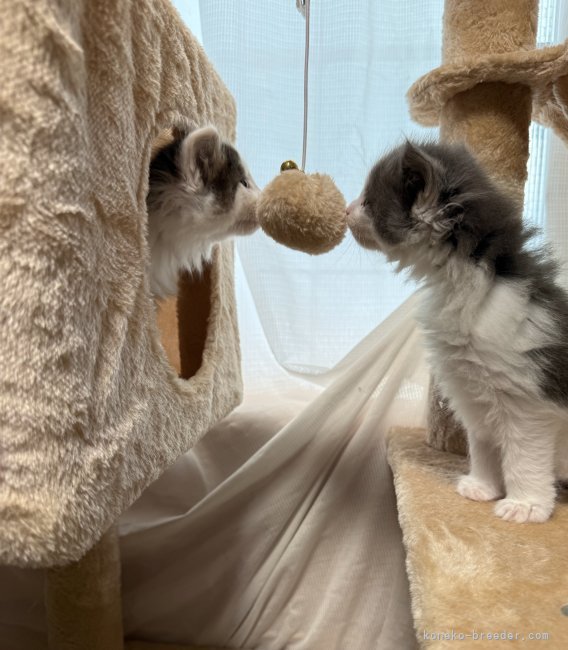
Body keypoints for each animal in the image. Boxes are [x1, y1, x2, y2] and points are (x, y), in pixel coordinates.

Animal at [347, 139, 568, 523]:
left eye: (368, 202)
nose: (345, 210)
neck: (473, 283)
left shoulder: (527, 403)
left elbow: (523, 456)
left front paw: (526, 505)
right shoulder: (473, 392)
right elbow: (483, 444)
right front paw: (483, 487)